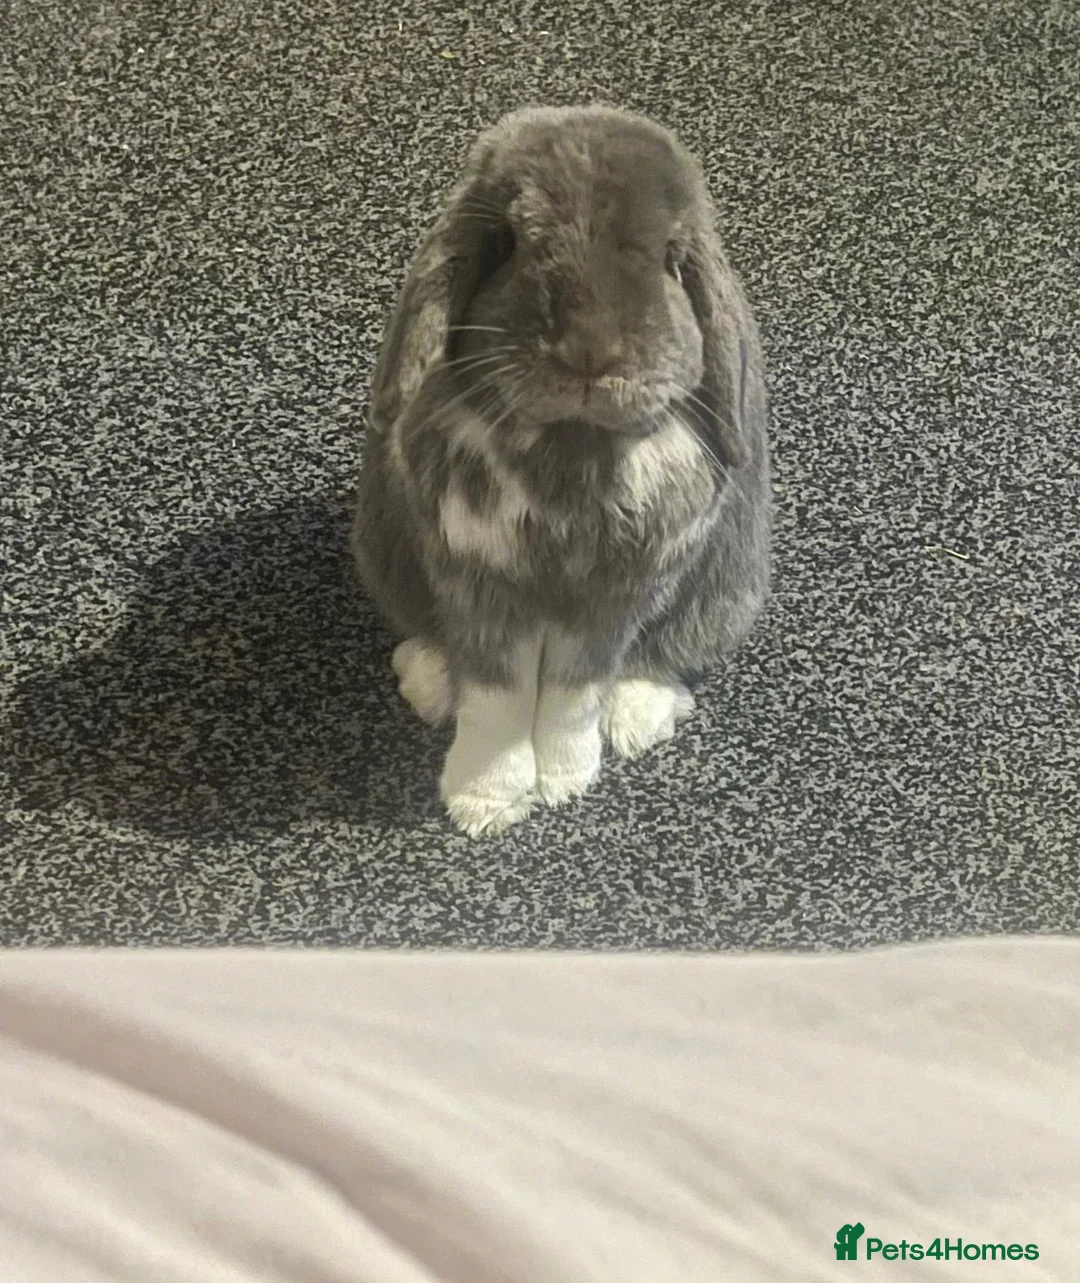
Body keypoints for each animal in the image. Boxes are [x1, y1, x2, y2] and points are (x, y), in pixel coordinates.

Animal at [351, 104, 772, 838]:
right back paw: (427, 680)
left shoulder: (616, 595)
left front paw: (566, 782)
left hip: (724, 591)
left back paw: (635, 720)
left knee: (661, 656)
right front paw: (484, 804)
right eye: (509, 241)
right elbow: (496, 697)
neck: (572, 446)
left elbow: (575, 692)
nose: (590, 355)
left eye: (672, 257)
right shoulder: (479, 582)